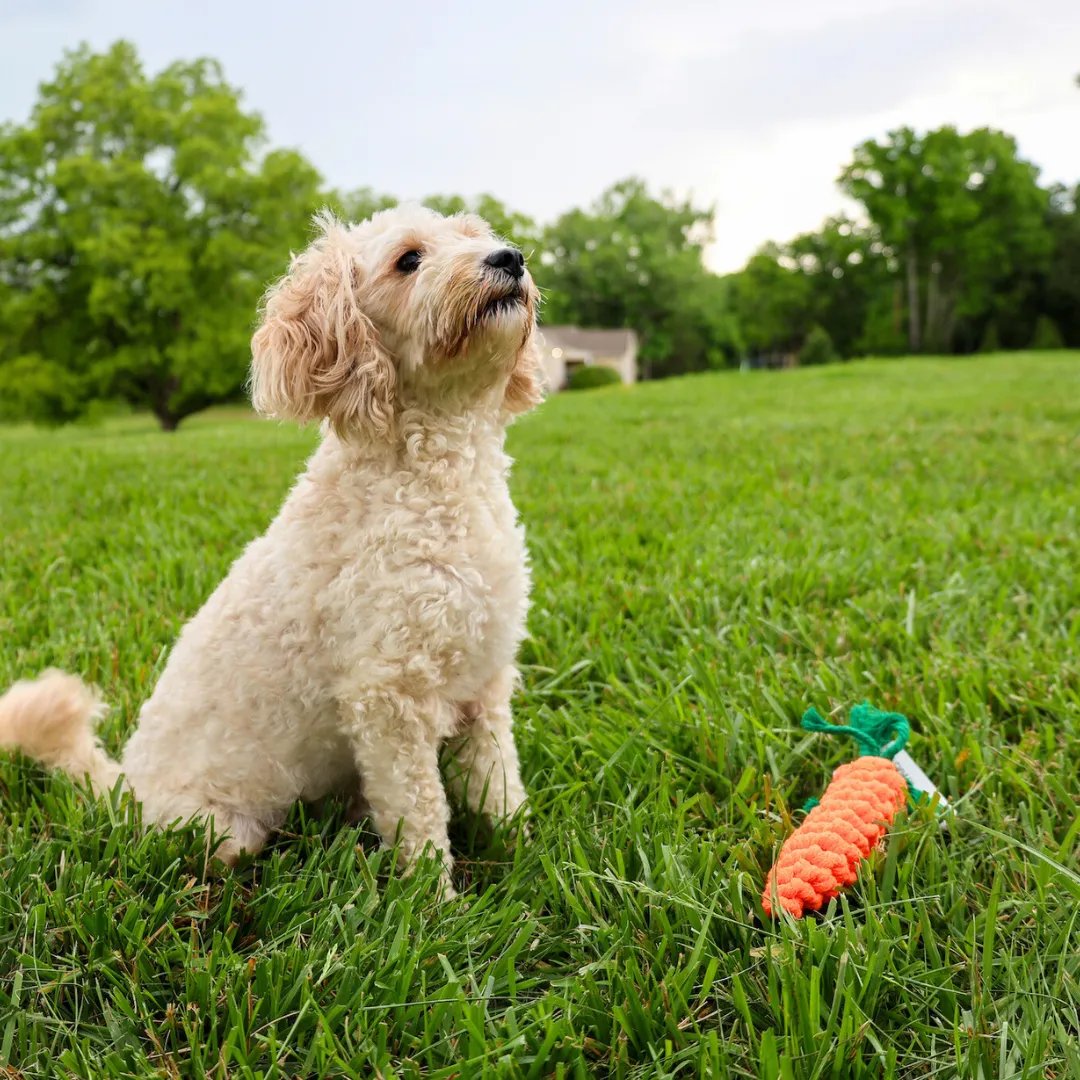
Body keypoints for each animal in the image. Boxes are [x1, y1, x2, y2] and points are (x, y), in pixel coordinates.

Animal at [0, 204, 540, 894]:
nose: (510, 258)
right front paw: (437, 902)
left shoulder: (486, 684)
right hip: (218, 830)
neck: (438, 478)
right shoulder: (387, 701)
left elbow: (499, 788)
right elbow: (420, 814)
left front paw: (524, 860)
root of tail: (125, 793)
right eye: (409, 260)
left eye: (475, 236)